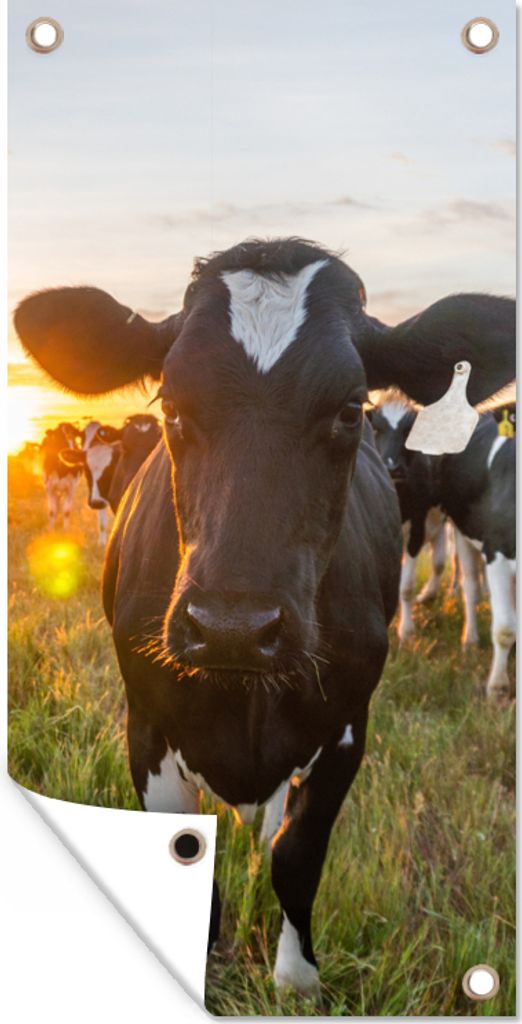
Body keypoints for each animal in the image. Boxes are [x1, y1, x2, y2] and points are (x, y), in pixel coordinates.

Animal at [14, 238, 515, 994]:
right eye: (171, 403)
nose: (233, 628)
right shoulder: (145, 725)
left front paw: (296, 976)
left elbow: (296, 854)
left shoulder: (347, 728)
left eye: (350, 409)